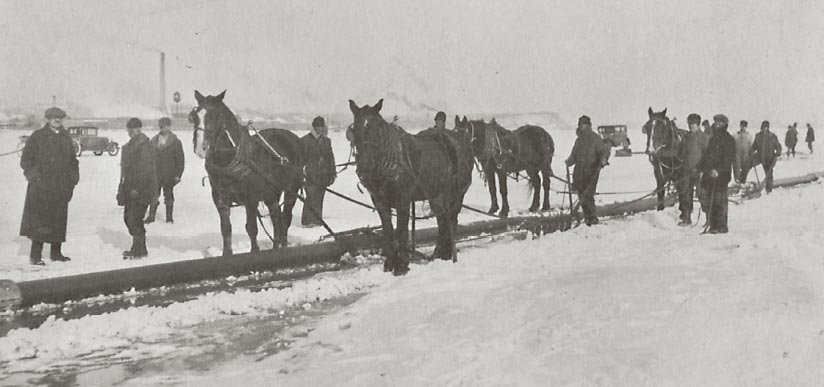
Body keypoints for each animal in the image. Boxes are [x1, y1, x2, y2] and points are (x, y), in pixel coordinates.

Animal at [190, 89, 302, 256]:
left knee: (285, 219)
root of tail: (294, 137)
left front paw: (254, 251)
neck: (229, 160)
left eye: (214, 116)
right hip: (271, 193)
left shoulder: (251, 199)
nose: (200, 148)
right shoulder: (220, 199)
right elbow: (226, 229)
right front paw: (226, 254)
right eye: (194, 115)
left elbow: (251, 228)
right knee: (276, 217)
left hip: (291, 191)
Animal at [348, 99, 474, 276]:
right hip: (436, 194)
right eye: (355, 129)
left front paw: (402, 266)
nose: (365, 167)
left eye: (377, 130)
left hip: (457, 194)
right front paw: (390, 263)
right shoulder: (379, 201)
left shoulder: (403, 199)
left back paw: (447, 253)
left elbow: (401, 230)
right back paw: (440, 254)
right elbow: (388, 230)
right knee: (442, 220)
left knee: (452, 219)